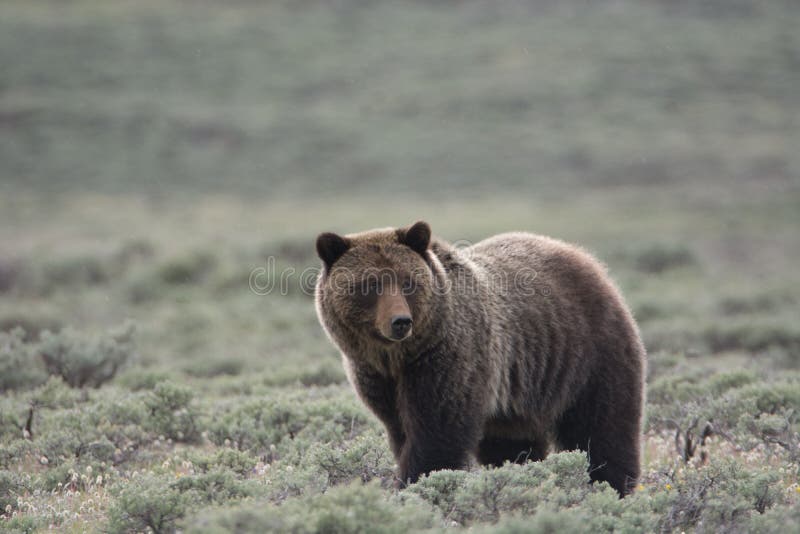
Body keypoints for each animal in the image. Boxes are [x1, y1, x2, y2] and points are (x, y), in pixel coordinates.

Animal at [315, 221, 646, 496]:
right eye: (370, 284)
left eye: (408, 282)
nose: (400, 321)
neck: (398, 357)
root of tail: (587, 260)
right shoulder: (377, 377)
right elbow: (401, 430)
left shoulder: (445, 360)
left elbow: (437, 432)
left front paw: (416, 484)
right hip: (517, 399)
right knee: (511, 446)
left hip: (589, 354)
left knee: (602, 427)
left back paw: (611, 486)